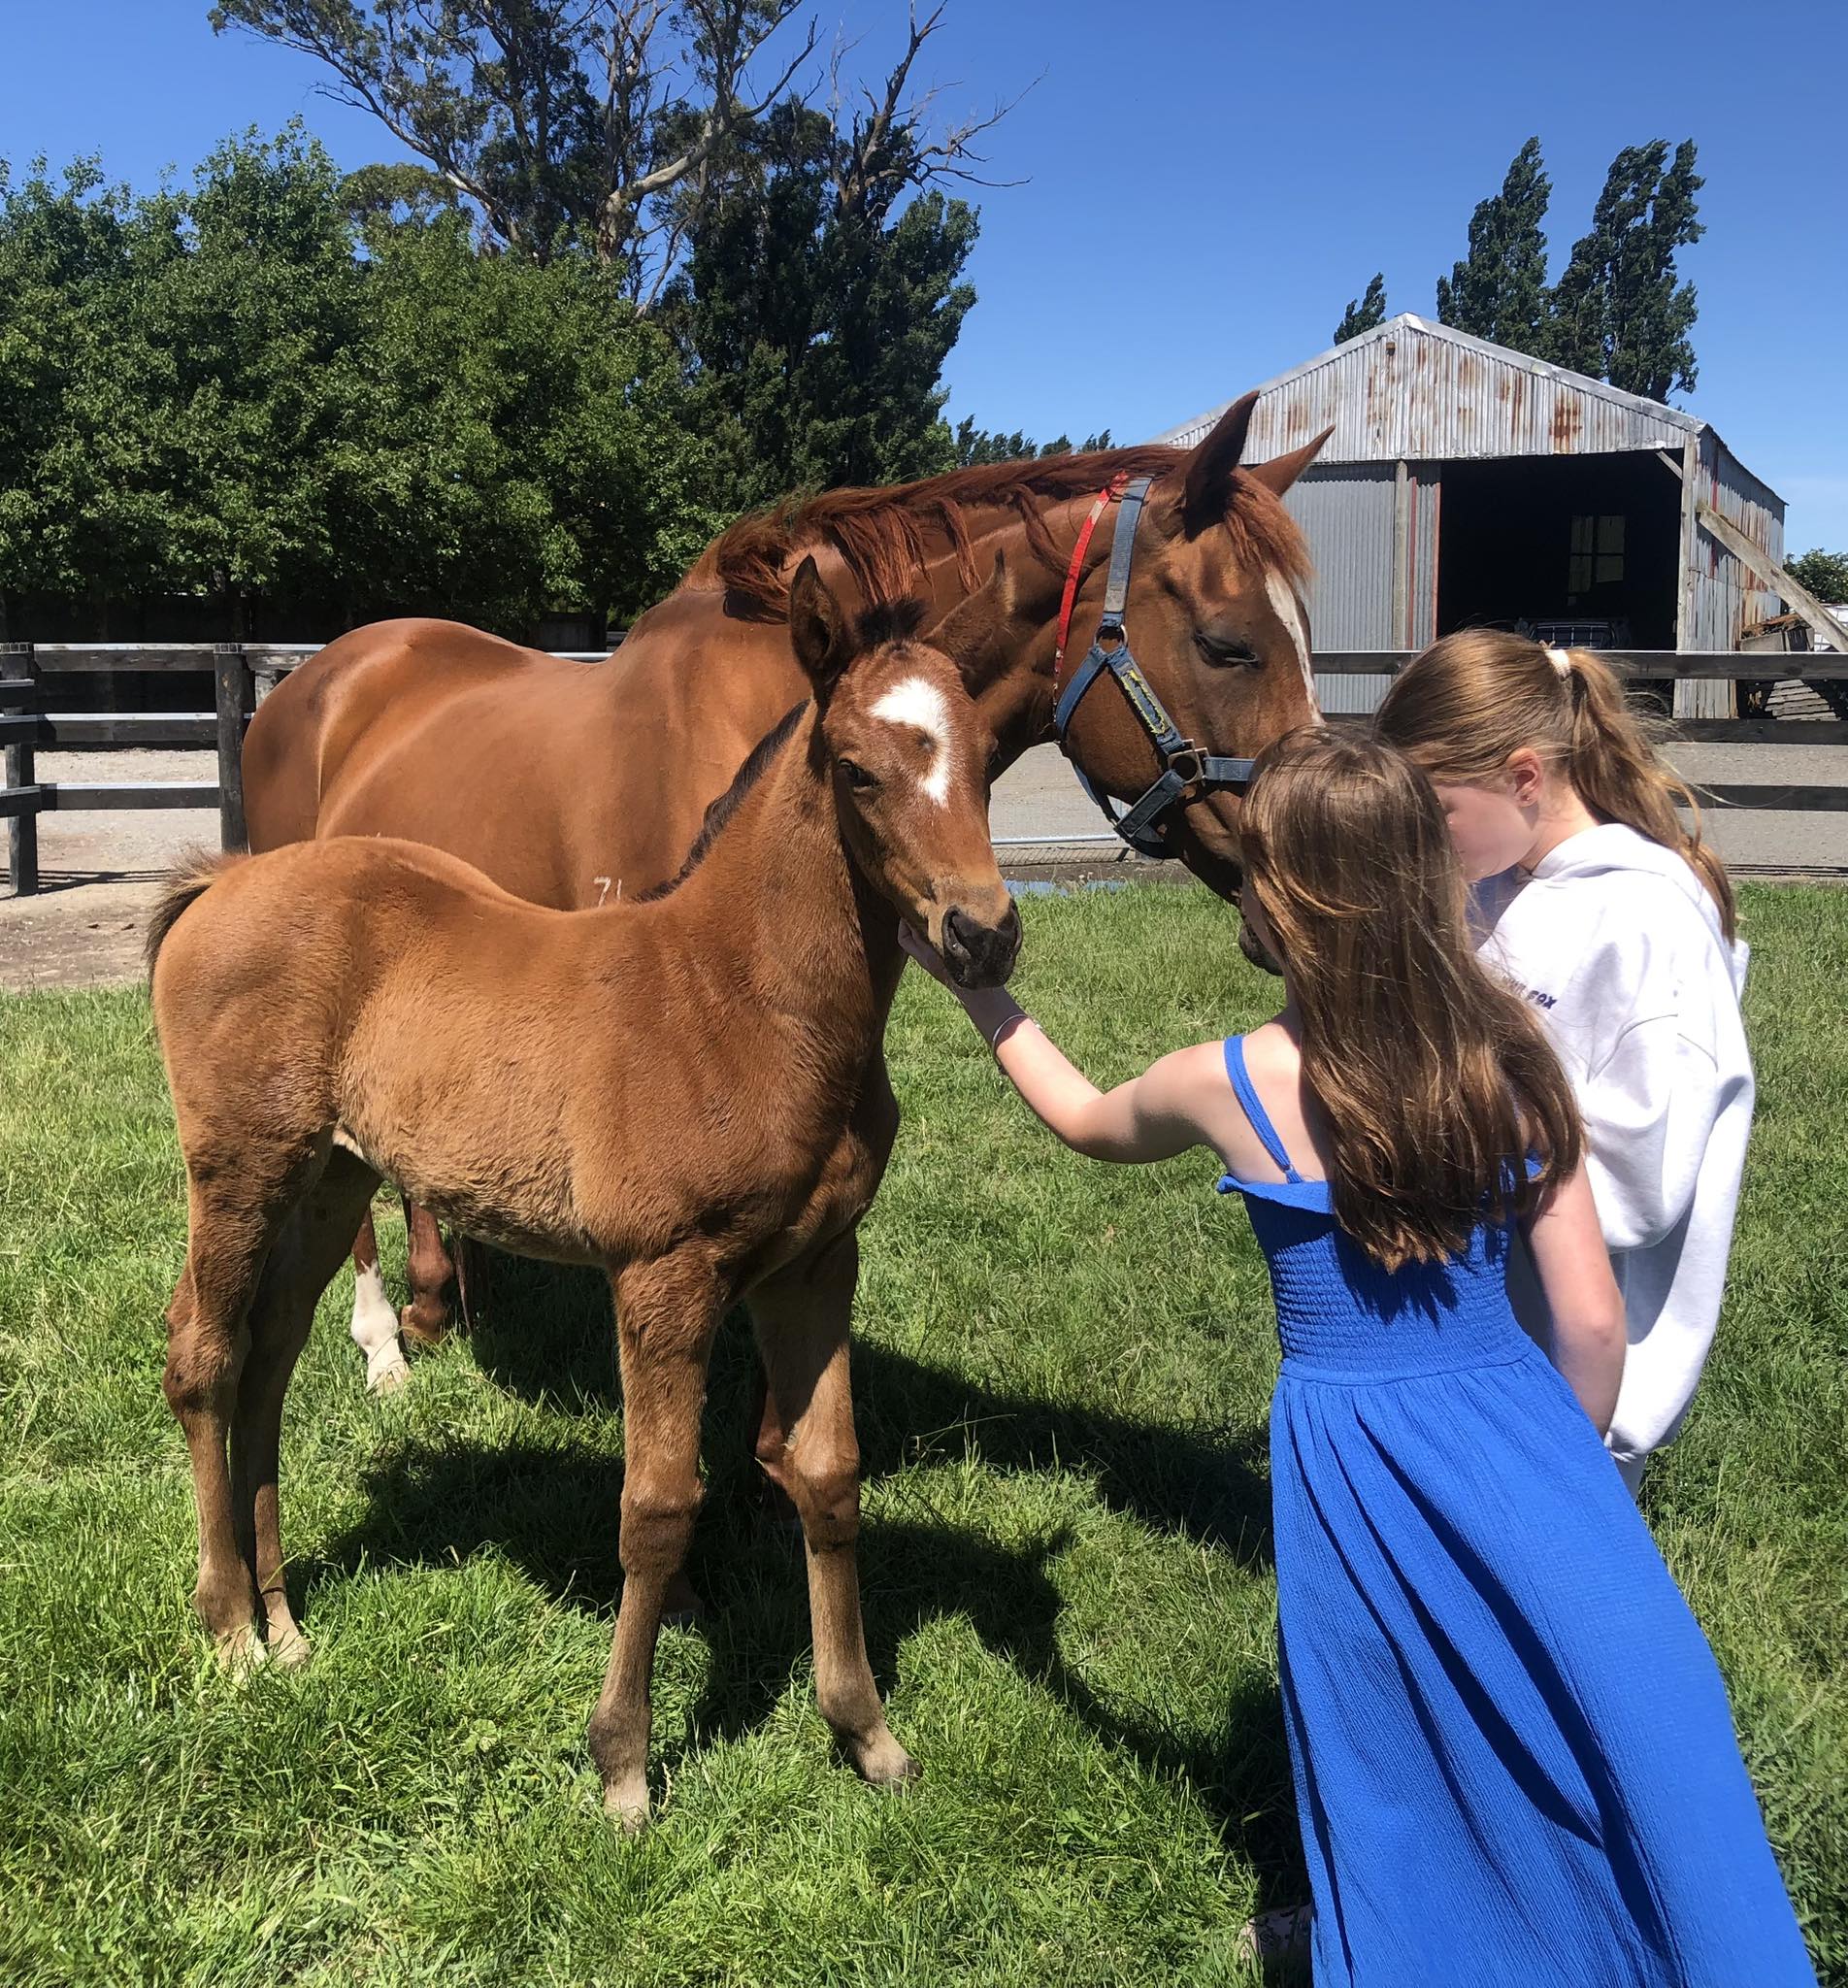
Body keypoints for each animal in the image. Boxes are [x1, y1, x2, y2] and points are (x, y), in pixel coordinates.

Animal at [149, 558, 1020, 1828]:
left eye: (987, 751)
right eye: (858, 769)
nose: (983, 933)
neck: (738, 998)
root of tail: (220, 881)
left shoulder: (816, 1263)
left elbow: (827, 1477)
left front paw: (865, 1733)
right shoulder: (663, 1274)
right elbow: (654, 1509)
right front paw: (622, 1765)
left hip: (328, 1177)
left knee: (267, 1359)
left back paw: (285, 1620)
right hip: (240, 1164)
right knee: (205, 1357)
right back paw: (229, 1634)